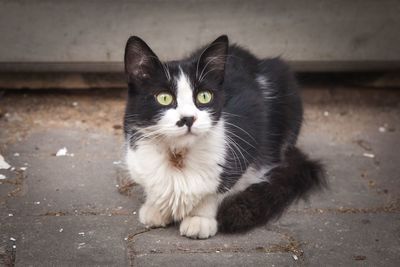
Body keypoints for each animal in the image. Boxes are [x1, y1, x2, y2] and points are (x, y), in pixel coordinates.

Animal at [122, 34, 324, 240]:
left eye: (204, 96)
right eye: (164, 98)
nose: (188, 118)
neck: (179, 153)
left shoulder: (251, 120)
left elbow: (219, 187)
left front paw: (199, 217)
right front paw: (156, 207)